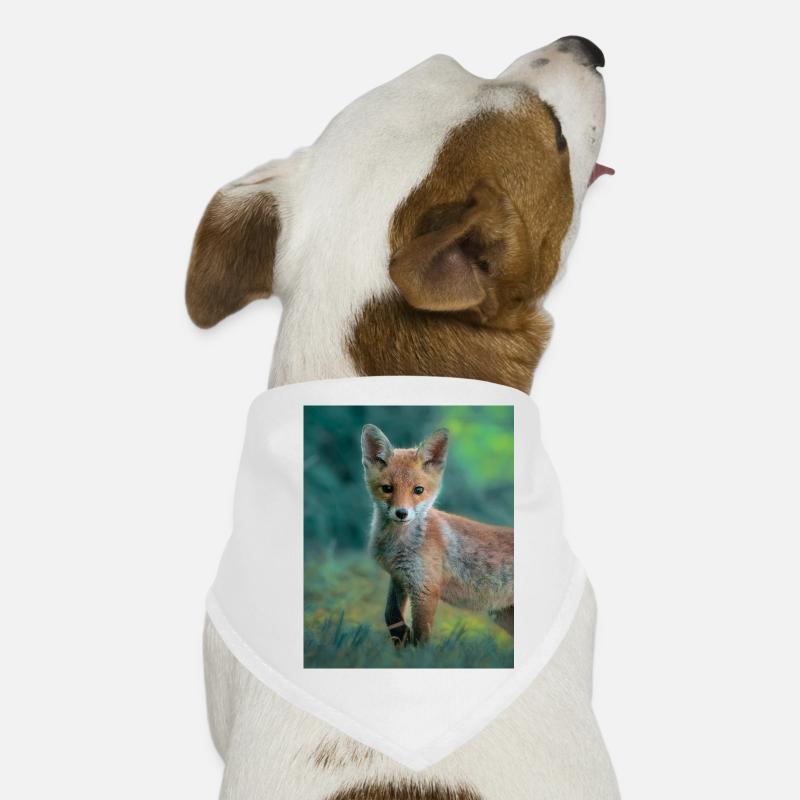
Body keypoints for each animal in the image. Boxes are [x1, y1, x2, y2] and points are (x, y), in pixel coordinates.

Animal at [361, 424, 514, 646]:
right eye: (387, 488)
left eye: (418, 490)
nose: (401, 513)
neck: (398, 545)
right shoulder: (399, 578)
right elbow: (391, 616)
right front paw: (402, 638)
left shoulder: (426, 589)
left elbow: (421, 638)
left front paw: (415, 652)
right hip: (504, 616)